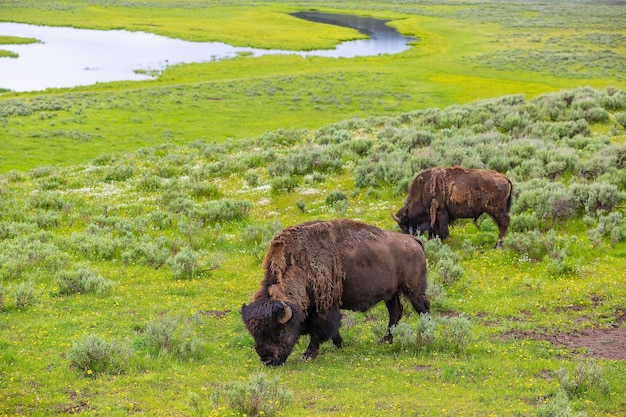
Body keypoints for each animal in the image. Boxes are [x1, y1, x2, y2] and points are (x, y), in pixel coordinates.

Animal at [240, 218, 428, 364]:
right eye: (255, 334)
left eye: (278, 332)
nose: (267, 361)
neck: (298, 266)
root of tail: (413, 240)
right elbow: (333, 329)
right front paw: (340, 344)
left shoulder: (323, 307)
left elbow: (319, 330)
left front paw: (308, 355)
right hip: (391, 293)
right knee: (395, 312)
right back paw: (386, 340)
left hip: (413, 289)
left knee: (423, 309)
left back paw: (426, 335)